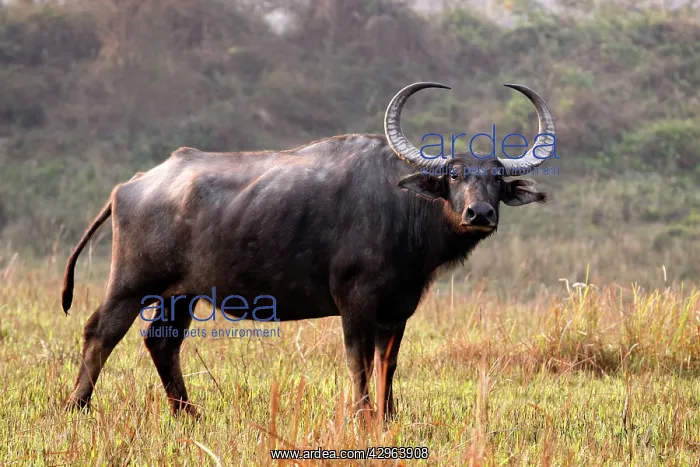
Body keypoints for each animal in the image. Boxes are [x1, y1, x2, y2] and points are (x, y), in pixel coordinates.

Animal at [62, 82, 555, 420]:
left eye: (495, 178)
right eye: (454, 176)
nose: (479, 213)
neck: (403, 207)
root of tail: (130, 186)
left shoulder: (398, 308)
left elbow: (388, 362)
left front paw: (387, 416)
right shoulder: (354, 302)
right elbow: (358, 360)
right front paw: (362, 416)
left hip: (182, 294)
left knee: (161, 341)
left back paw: (189, 414)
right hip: (132, 283)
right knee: (100, 332)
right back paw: (76, 406)